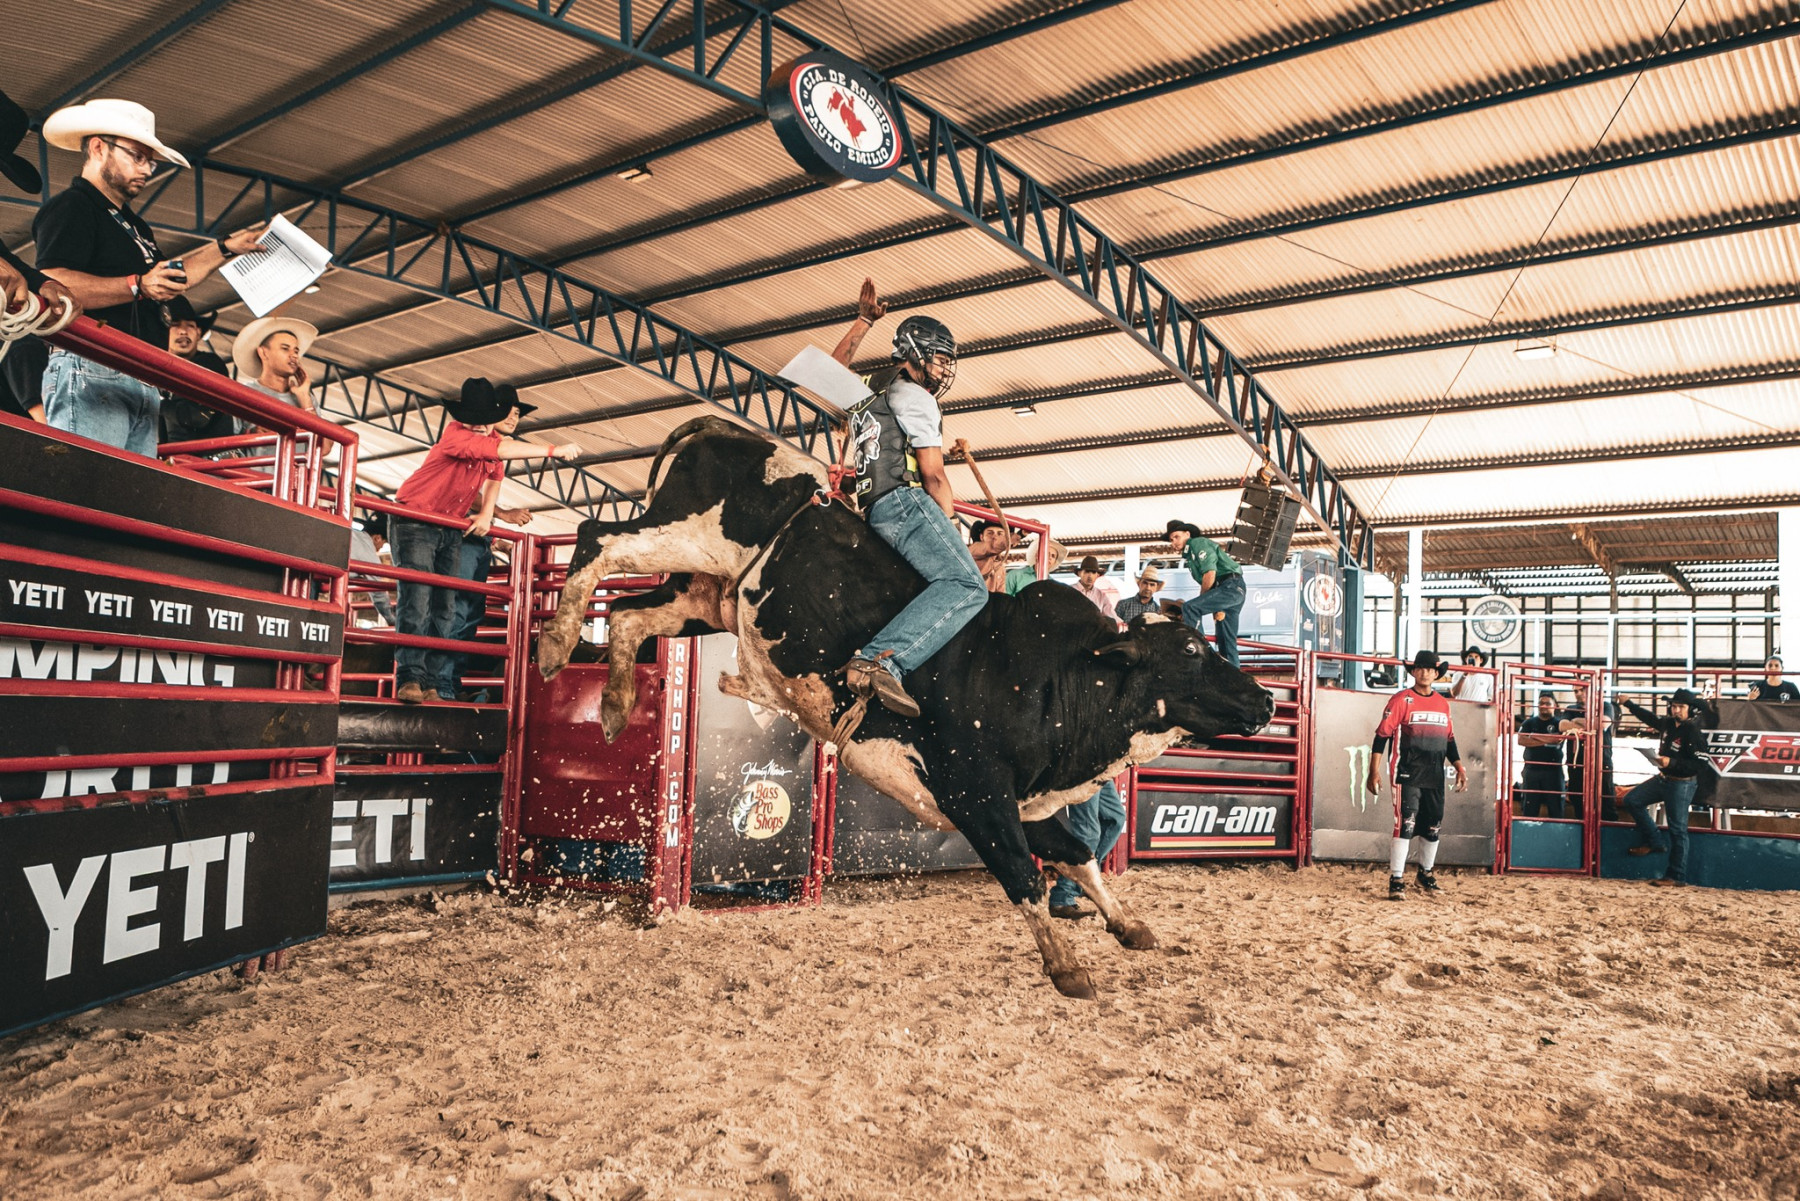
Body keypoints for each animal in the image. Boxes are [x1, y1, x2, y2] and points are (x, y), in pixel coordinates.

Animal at [536, 417, 1281, 1001]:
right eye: (1190, 648)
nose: (1266, 697)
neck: (1052, 678)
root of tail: (714, 427)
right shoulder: (976, 794)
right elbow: (1024, 876)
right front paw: (1067, 967)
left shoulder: (1025, 802)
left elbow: (1076, 855)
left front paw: (1129, 926)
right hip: (679, 533)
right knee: (597, 535)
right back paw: (552, 644)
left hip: (703, 593)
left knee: (629, 616)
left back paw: (613, 703)